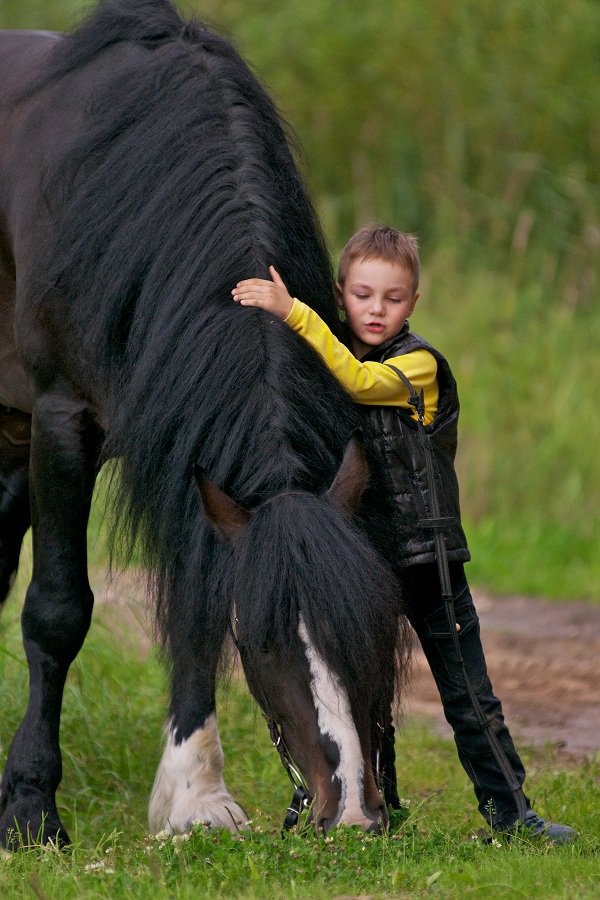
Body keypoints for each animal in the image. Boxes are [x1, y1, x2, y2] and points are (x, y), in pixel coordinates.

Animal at [0, 0, 408, 848]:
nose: (354, 812)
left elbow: (193, 605)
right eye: (262, 639)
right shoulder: (61, 419)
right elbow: (57, 610)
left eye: (377, 622)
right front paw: (29, 807)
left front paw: (195, 798)